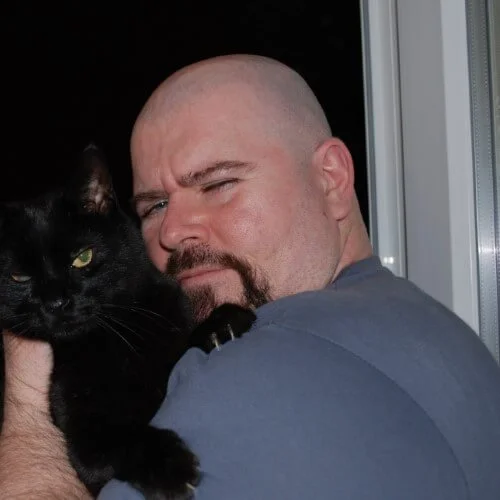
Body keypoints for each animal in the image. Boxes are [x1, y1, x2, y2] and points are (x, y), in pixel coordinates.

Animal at [0, 146, 256, 499]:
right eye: (18, 277)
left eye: (82, 257)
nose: (56, 302)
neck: (118, 335)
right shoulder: (84, 434)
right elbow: (124, 439)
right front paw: (169, 467)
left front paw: (221, 324)